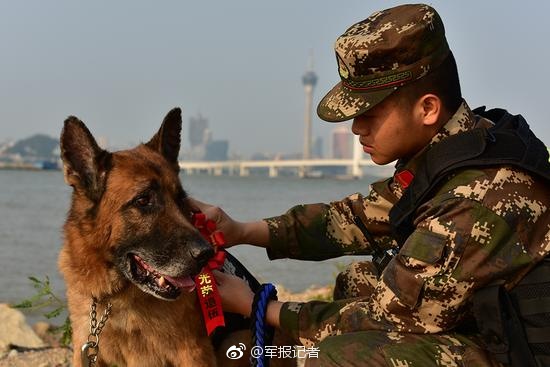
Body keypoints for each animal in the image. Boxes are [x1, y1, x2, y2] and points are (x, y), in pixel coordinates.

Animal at [58, 108, 296, 366]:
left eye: (181, 199)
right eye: (143, 200)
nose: (206, 254)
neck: (115, 297)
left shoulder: (193, 352)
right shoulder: (86, 350)